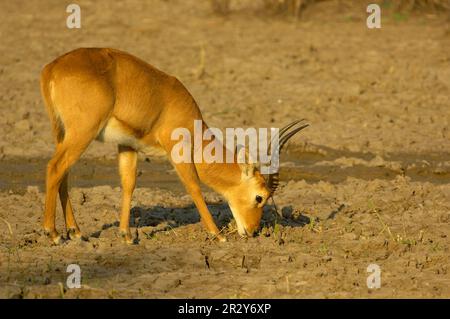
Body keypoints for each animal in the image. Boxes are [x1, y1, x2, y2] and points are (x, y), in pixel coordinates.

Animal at [39, 48, 310, 245]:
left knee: (63, 174)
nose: (253, 231)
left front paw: (126, 235)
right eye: (259, 197)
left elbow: (128, 184)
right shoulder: (177, 150)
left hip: (63, 133)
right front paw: (217, 234)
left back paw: (75, 231)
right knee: (54, 167)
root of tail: (51, 68)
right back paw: (53, 233)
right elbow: (193, 186)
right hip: (82, 134)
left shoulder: (128, 145)